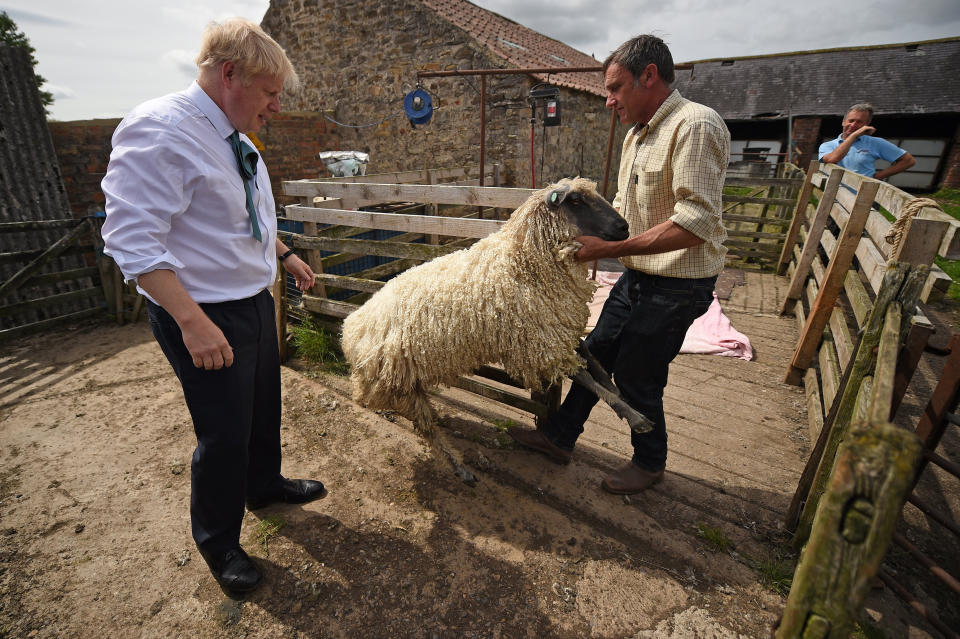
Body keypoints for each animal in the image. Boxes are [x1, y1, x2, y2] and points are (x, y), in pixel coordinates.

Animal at [344, 176, 632, 484]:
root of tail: (351, 329)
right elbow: (586, 379)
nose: (624, 227)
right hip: (396, 385)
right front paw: (636, 419)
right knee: (424, 427)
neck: (524, 260)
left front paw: (626, 400)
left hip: (408, 383)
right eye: (576, 201)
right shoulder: (539, 345)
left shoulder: (557, 332)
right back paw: (459, 468)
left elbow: (595, 366)